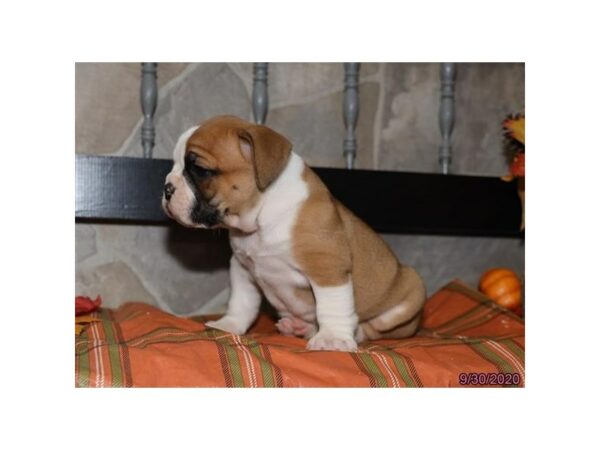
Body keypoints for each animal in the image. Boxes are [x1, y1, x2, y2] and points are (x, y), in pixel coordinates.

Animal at [161, 115, 426, 352]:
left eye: (200, 170)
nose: (167, 188)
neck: (262, 213)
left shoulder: (327, 267)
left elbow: (332, 305)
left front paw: (333, 338)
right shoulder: (242, 267)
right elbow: (242, 302)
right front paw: (229, 324)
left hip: (410, 293)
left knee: (374, 328)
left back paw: (351, 332)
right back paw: (299, 328)